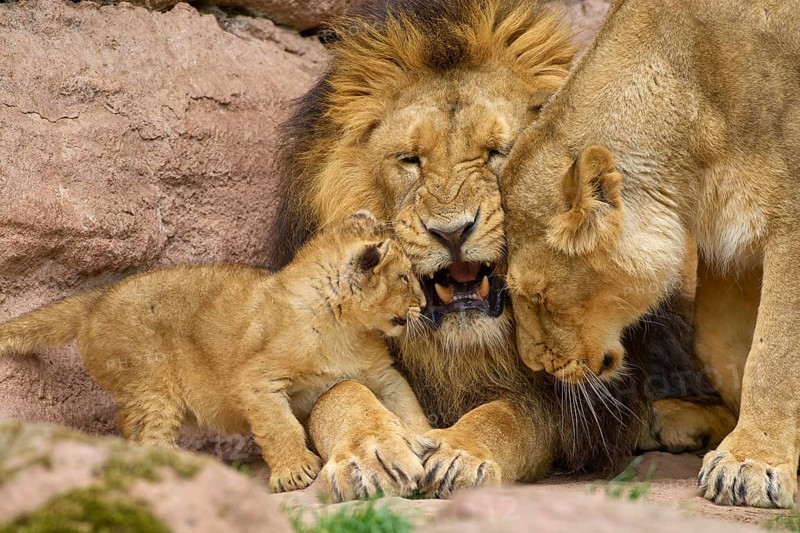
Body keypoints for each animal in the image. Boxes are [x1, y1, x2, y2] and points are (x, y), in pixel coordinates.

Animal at [0, 212, 430, 494]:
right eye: (404, 277)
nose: (425, 305)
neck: (344, 326)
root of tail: (96, 300)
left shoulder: (382, 374)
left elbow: (407, 404)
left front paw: (427, 440)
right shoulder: (257, 381)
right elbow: (279, 426)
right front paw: (293, 473)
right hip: (150, 385)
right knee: (148, 436)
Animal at [276, 0, 734, 501]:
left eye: (498, 151)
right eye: (411, 159)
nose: (452, 231)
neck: (460, 348)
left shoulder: (564, 398)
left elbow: (509, 416)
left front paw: (460, 453)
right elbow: (338, 394)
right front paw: (369, 453)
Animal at [502, 0, 799, 508]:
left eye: (540, 298)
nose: (533, 365)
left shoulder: (792, 223)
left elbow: (775, 355)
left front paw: (752, 463)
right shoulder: (735, 241)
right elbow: (728, 348)